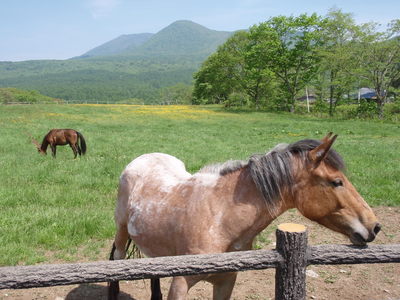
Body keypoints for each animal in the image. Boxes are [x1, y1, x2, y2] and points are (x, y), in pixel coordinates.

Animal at [108, 134, 382, 300]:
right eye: (337, 182)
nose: (374, 226)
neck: (219, 218)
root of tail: (141, 160)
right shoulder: (181, 283)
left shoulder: (226, 282)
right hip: (121, 230)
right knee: (116, 261)